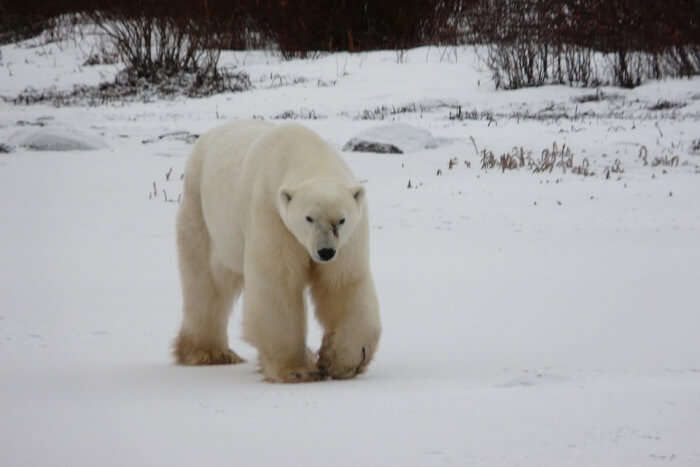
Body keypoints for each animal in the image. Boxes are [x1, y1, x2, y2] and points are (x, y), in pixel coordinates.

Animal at [175, 120, 382, 384]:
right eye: (309, 218)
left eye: (341, 220)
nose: (325, 252)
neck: (304, 152)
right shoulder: (272, 214)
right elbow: (278, 283)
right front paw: (297, 370)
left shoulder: (349, 238)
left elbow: (342, 283)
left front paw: (341, 361)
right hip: (201, 210)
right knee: (206, 281)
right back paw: (208, 353)